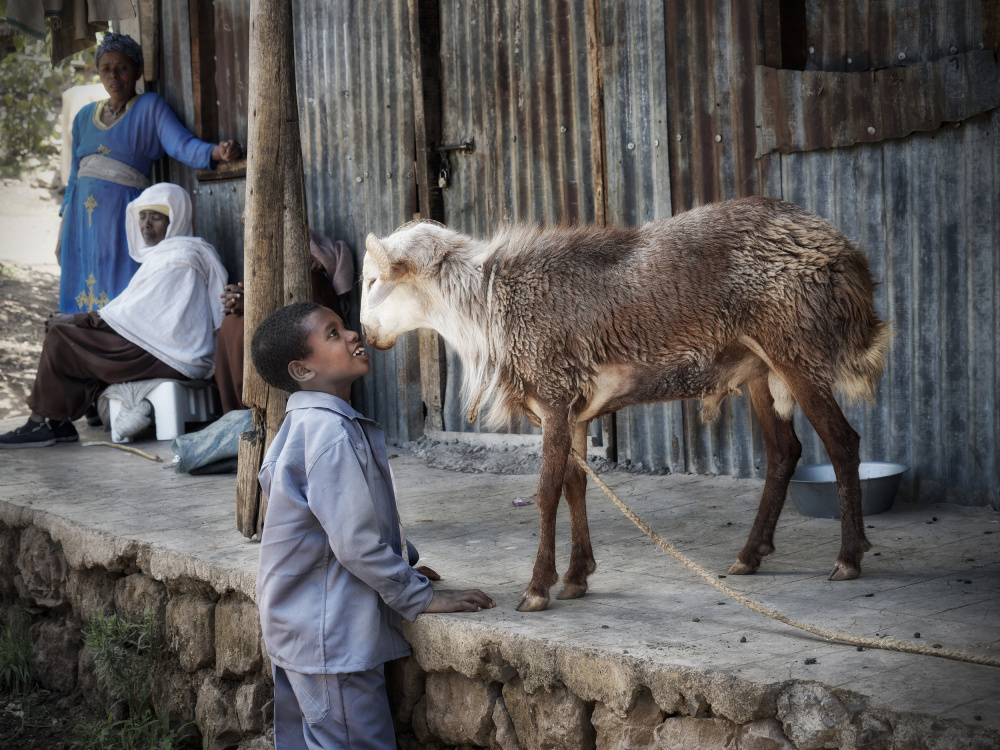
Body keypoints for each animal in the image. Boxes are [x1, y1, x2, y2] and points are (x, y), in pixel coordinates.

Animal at [360, 197, 892, 612]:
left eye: (370, 282)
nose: (365, 334)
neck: (488, 305)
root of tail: (844, 254)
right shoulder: (573, 408)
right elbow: (575, 485)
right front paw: (577, 577)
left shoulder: (554, 395)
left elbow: (547, 491)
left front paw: (537, 588)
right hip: (761, 368)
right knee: (784, 452)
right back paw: (750, 555)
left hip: (795, 349)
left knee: (842, 441)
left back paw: (848, 558)